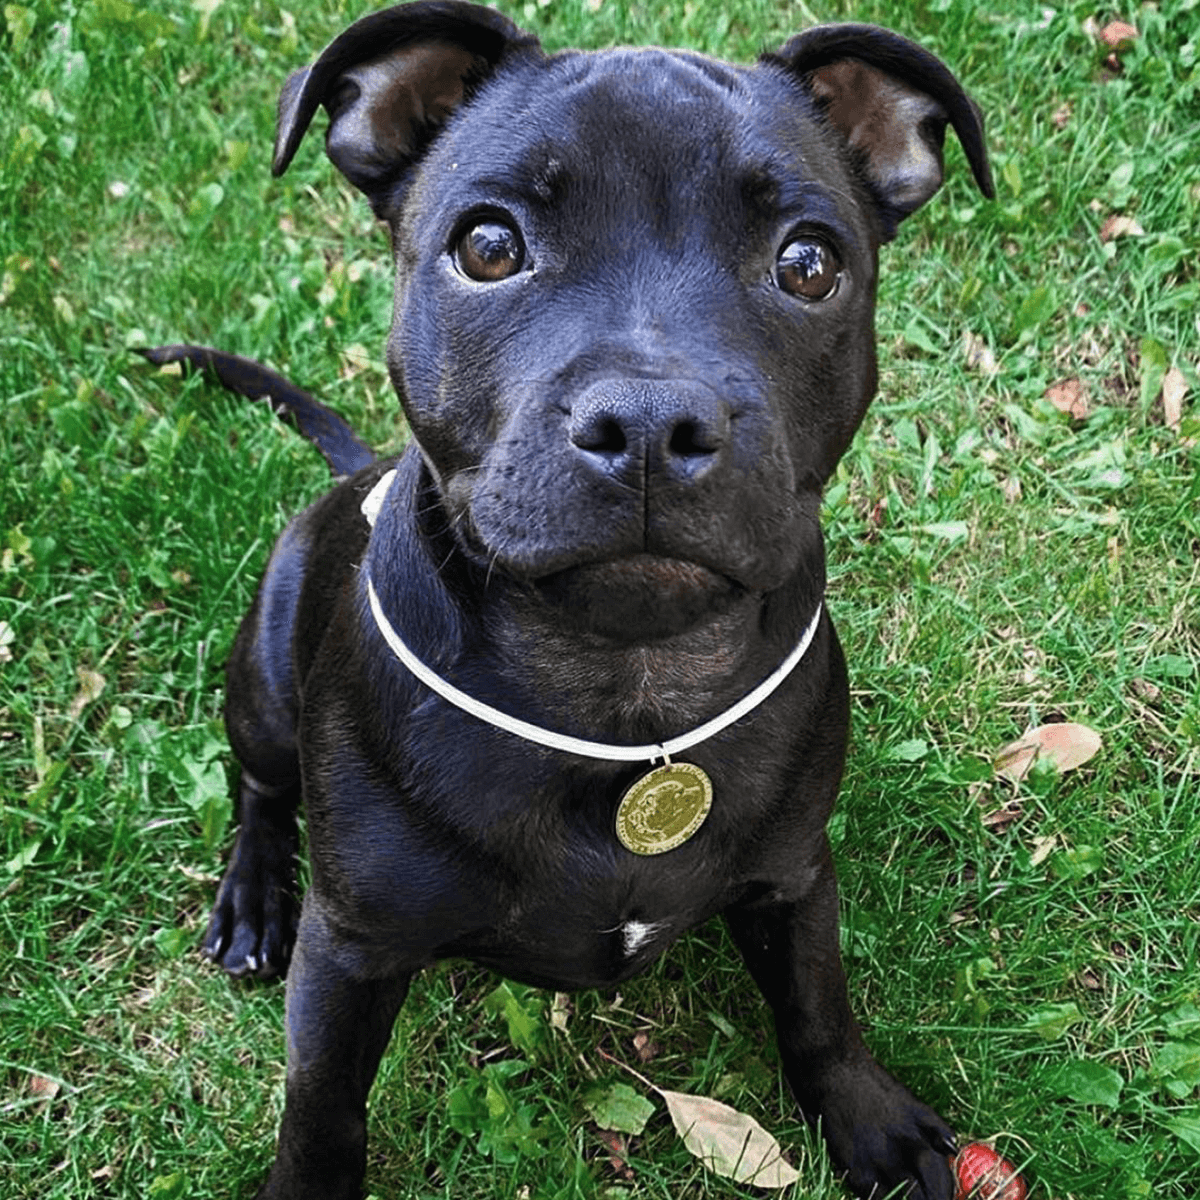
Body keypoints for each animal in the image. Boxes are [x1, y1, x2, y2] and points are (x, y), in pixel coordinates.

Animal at [152, 4, 993, 1195]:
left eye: (809, 263)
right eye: (488, 246)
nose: (648, 421)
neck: (628, 692)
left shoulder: (794, 877)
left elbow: (820, 1007)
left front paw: (869, 1121)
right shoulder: (351, 951)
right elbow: (320, 1109)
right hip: (266, 680)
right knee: (260, 788)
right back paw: (253, 897)